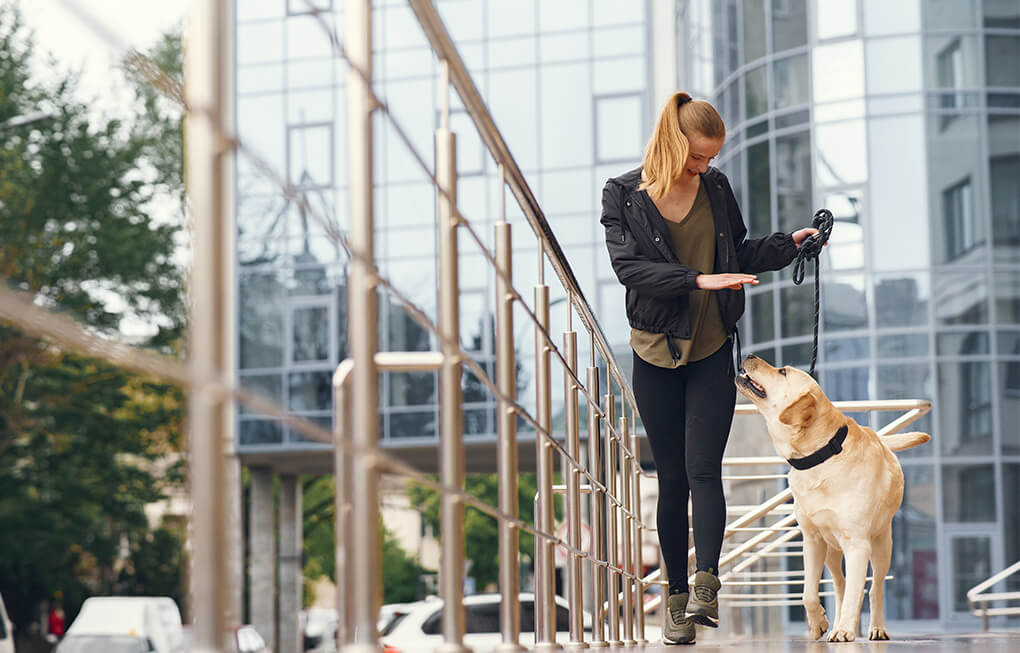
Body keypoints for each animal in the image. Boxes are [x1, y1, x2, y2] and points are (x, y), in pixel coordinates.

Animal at [734, 355, 934, 640]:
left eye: (782, 371)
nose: (749, 356)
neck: (822, 455)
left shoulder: (858, 545)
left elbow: (856, 592)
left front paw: (845, 629)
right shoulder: (812, 540)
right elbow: (808, 593)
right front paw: (819, 622)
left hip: (882, 545)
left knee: (875, 588)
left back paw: (876, 627)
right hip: (830, 550)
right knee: (839, 585)